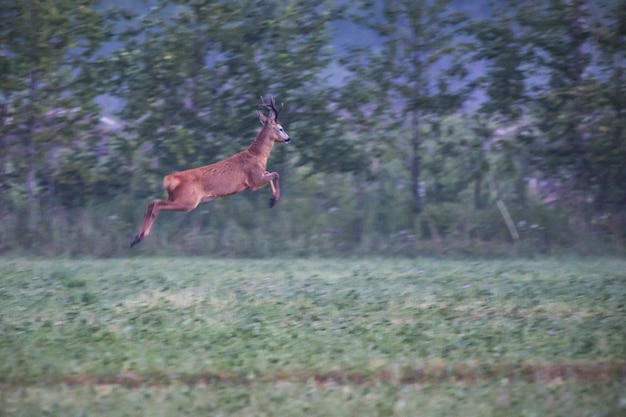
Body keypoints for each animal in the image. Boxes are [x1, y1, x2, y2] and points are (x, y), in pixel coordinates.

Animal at [130, 95, 292, 245]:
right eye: (281, 128)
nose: (288, 138)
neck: (256, 156)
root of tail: (170, 179)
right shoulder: (254, 180)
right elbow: (275, 174)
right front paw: (273, 200)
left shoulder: (258, 176)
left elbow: (271, 172)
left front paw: (272, 200)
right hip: (188, 201)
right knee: (157, 205)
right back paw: (141, 237)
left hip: (175, 197)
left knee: (152, 203)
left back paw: (136, 238)